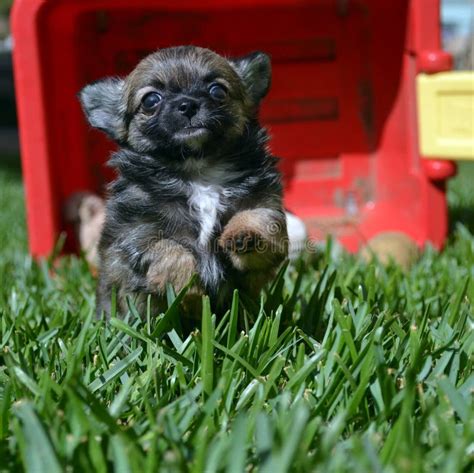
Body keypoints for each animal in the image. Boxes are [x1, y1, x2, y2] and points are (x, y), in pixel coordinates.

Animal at [78, 46, 288, 316]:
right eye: (151, 100)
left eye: (218, 91)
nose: (187, 104)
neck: (198, 170)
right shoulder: (137, 235)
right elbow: (172, 253)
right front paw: (190, 290)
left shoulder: (265, 201)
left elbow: (260, 218)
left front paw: (244, 235)